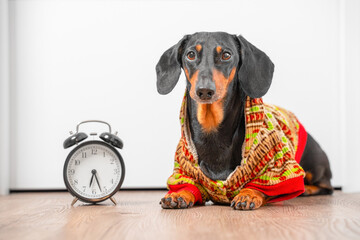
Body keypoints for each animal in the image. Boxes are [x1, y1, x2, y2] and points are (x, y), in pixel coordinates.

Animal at [156, 32, 334, 210]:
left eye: (226, 55)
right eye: (191, 54)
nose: (204, 90)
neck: (212, 129)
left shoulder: (276, 167)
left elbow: (260, 186)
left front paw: (248, 194)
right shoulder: (185, 169)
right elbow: (188, 185)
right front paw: (179, 194)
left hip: (315, 167)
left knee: (327, 186)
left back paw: (308, 190)